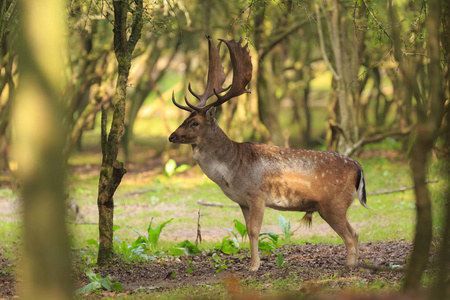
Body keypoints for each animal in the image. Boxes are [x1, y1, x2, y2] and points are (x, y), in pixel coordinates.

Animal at [169, 35, 370, 272]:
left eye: (195, 122)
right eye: (185, 119)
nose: (172, 136)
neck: (232, 171)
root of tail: (358, 167)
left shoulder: (257, 195)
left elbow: (255, 230)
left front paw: (254, 266)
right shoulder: (242, 201)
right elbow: (247, 230)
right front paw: (252, 264)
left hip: (334, 204)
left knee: (351, 235)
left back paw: (349, 268)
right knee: (355, 233)